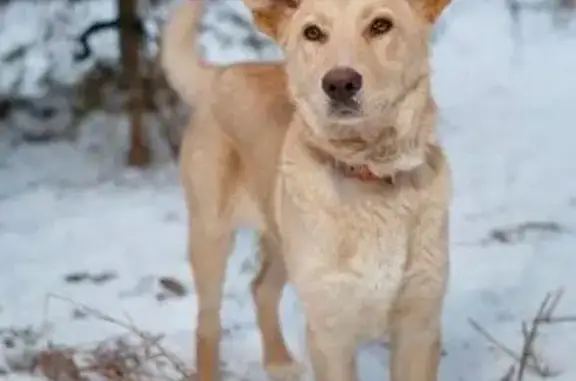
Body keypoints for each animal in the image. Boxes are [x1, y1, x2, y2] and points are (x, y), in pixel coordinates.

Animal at [160, 0, 452, 378]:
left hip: (280, 239)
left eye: (381, 25)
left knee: (261, 289)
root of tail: (222, 73)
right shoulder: (329, 333)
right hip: (210, 237)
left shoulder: (419, 326)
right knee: (207, 323)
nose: (340, 83)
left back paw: (279, 361)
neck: (369, 171)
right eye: (312, 32)